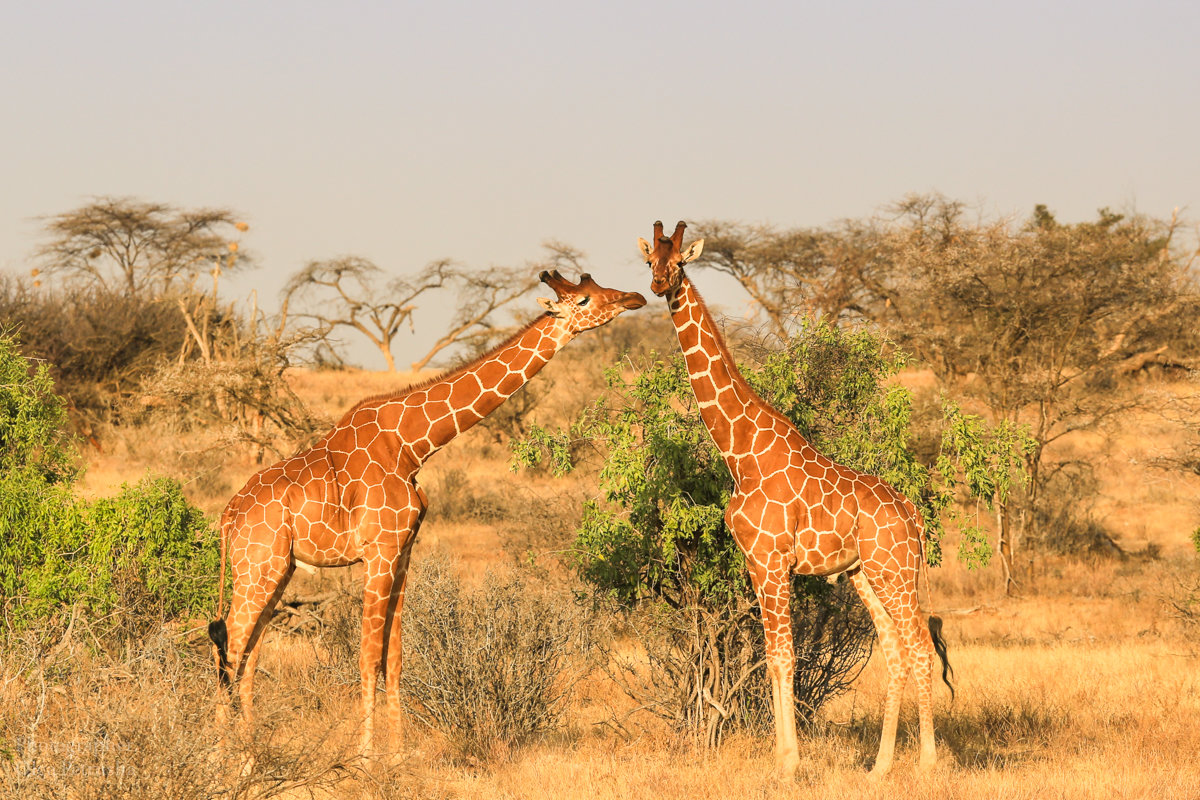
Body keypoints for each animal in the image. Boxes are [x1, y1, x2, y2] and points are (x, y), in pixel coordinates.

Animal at [206, 268, 648, 758]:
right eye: (585, 299)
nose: (635, 297)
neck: (413, 446)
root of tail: (227, 517)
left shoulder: (403, 553)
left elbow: (394, 658)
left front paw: (398, 755)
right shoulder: (378, 551)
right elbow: (367, 657)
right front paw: (366, 757)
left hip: (277, 570)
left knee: (247, 653)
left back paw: (249, 754)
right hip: (258, 566)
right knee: (229, 647)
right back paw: (224, 757)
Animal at [633, 221, 950, 777]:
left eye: (680, 263)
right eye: (651, 260)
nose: (658, 286)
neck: (740, 453)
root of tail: (913, 515)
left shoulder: (773, 560)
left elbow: (783, 657)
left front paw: (788, 762)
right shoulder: (755, 564)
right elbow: (770, 655)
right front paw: (784, 757)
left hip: (894, 571)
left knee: (919, 646)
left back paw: (927, 764)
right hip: (865, 573)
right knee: (894, 649)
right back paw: (880, 767)